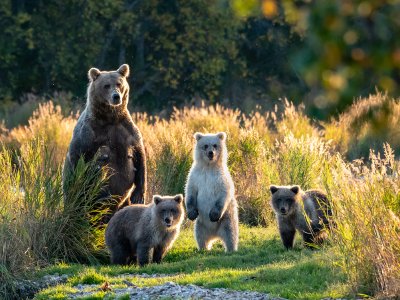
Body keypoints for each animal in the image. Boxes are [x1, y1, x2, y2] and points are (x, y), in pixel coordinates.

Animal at [64, 63, 147, 220]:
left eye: (119, 84)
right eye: (106, 85)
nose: (116, 96)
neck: (110, 118)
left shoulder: (127, 130)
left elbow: (140, 156)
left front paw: (138, 195)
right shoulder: (89, 133)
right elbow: (79, 157)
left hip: (123, 203)